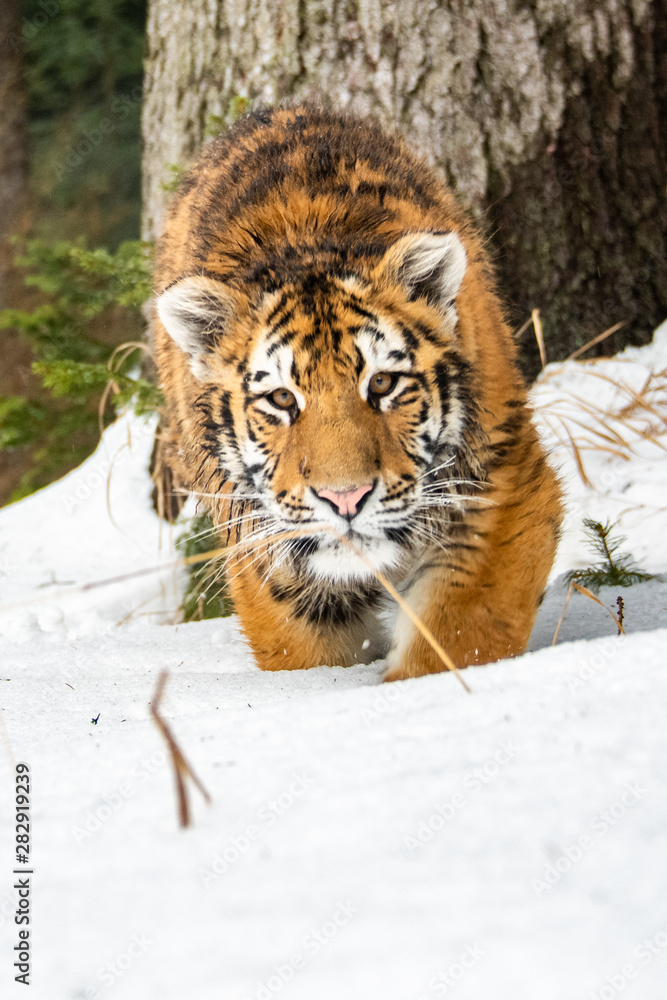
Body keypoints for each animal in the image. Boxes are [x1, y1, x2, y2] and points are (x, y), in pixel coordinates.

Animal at [152, 103, 563, 682]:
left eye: (382, 383)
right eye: (282, 399)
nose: (344, 499)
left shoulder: (501, 484)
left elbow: (463, 636)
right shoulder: (268, 558)